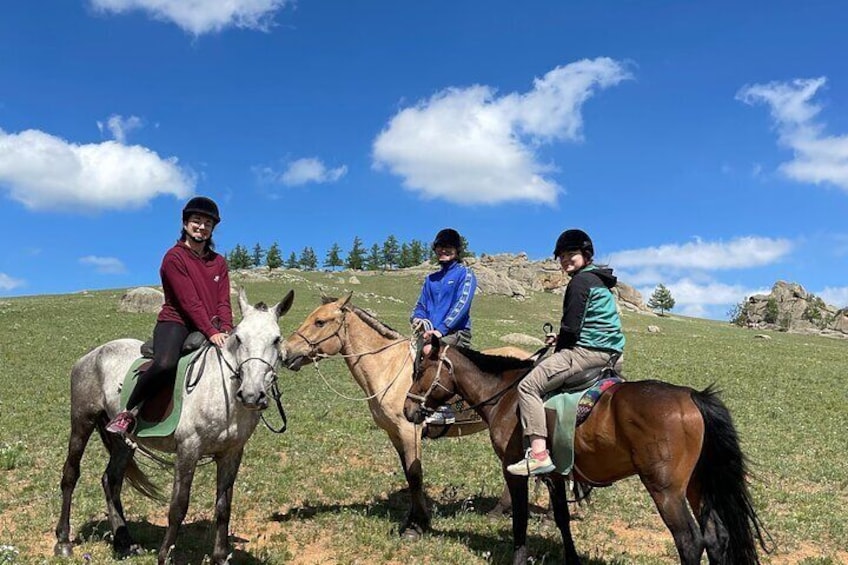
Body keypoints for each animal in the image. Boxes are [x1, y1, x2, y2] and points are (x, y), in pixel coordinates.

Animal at [55, 288, 294, 560]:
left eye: (276, 339)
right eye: (239, 338)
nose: (252, 395)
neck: (221, 389)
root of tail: (91, 354)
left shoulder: (232, 453)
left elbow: (224, 506)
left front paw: (220, 557)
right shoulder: (188, 450)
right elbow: (178, 506)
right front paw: (164, 556)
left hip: (124, 440)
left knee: (111, 480)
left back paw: (124, 541)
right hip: (82, 420)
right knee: (71, 475)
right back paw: (63, 541)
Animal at [282, 296, 528, 536]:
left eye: (320, 322)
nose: (285, 352)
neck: (387, 368)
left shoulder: (410, 430)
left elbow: (415, 475)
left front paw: (417, 525)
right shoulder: (394, 433)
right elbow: (409, 476)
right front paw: (413, 520)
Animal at [404, 340, 768, 564]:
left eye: (420, 371)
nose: (408, 410)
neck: (506, 397)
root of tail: (692, 396)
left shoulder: (515, 472)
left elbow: (520, 521)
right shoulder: (555, 476)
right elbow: (563, 520)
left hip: (666, 490)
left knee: (691, 541)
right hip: (697, 485)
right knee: (717, 535)